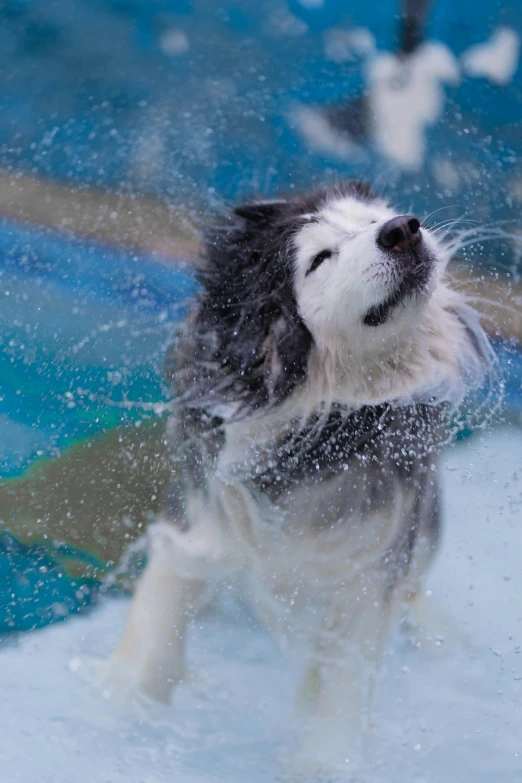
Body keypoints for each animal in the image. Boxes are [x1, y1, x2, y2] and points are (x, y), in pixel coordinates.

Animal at [106, 181, 492, 764]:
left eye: (373, 218)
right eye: (320, 258)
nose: (402, 228)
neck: (316, 422)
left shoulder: (371, 561)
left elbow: (341, 686)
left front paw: (324, 761)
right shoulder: (202, 514)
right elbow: (156, 630)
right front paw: (122, 715)